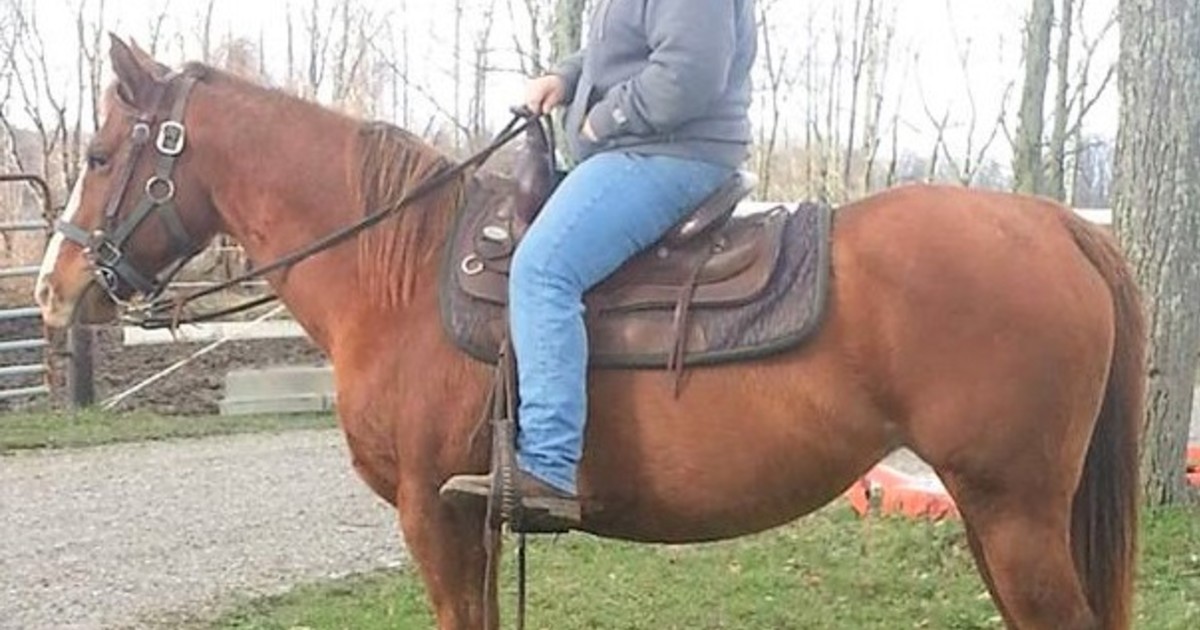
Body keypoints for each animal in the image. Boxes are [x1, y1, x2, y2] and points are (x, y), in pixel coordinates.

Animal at [35, 37, 1145, 630]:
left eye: (99, 155)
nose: (53, 288)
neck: (399, 273)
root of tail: (1060, 224)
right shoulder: (471, 525)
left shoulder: (433, 515)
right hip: (999, 516)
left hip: (1013, 511)